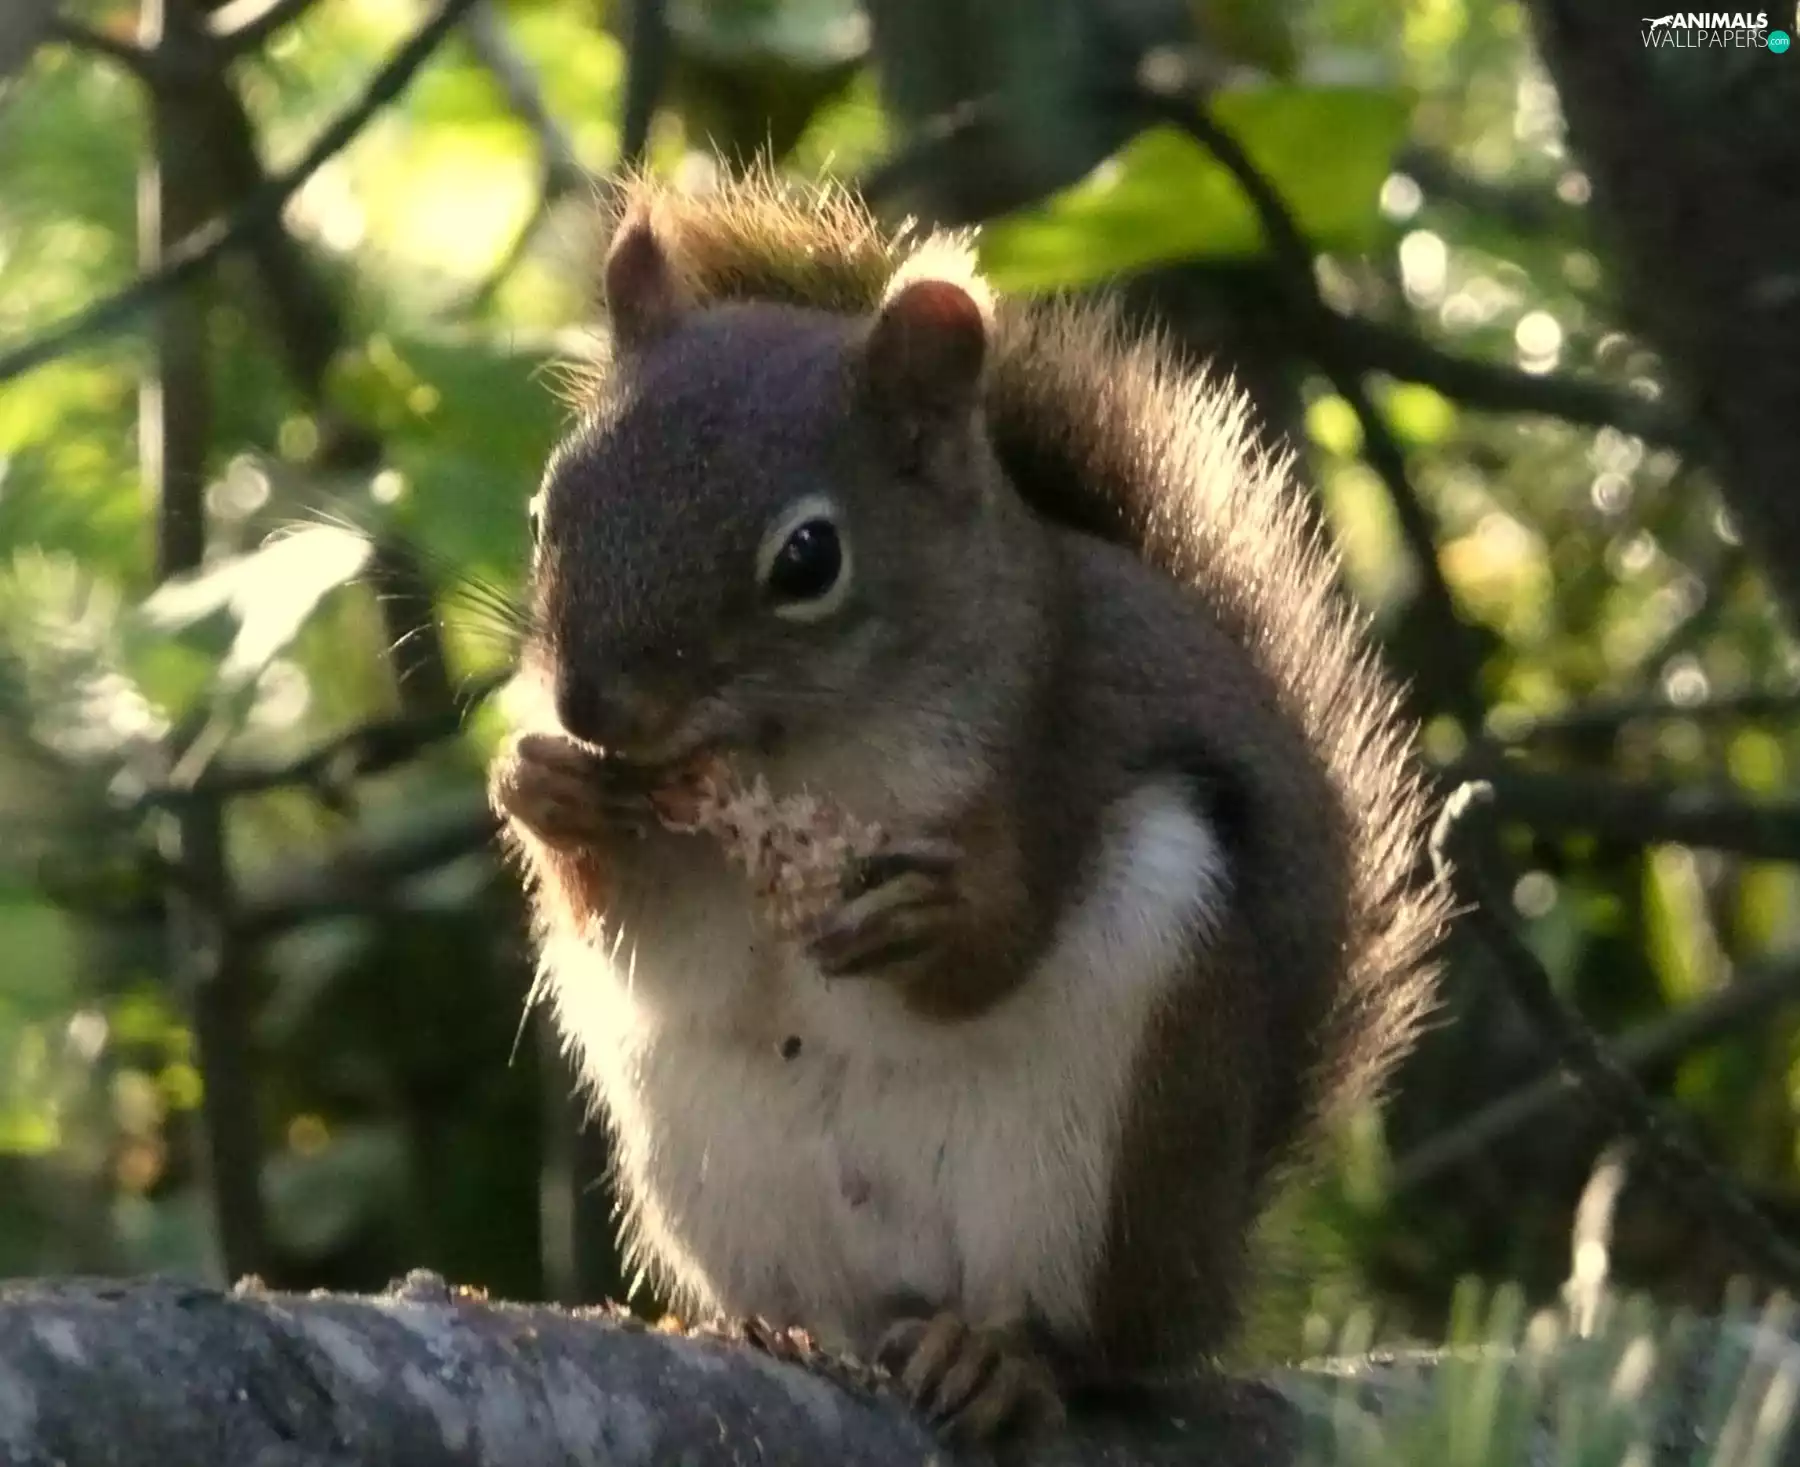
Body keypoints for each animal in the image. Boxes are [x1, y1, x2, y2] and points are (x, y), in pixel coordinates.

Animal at [487, 163, 1452, 1444]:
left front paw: (929, 921)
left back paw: (999, 1359)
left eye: (808, 560)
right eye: (547, 509)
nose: (593, 707)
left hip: (1112, 1152)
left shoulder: (1053, 745)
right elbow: (663, 949)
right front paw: (543, 789)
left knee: (1081, 1343)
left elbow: (994, 949)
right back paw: (779, 1332)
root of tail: (1207, 1272)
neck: (800, 754)